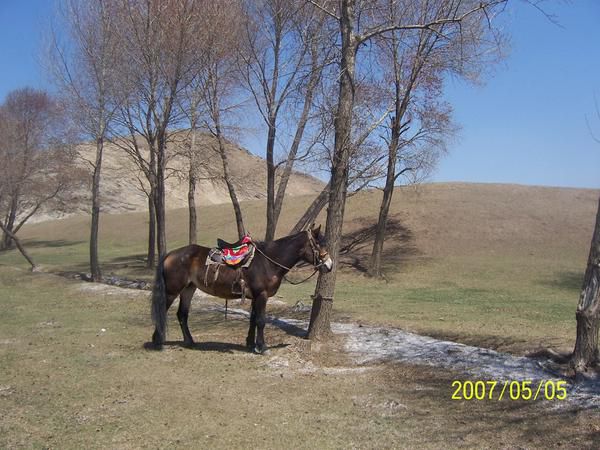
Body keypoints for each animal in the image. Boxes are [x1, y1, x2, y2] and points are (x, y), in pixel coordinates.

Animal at [148, 227, 330, 354]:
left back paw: (189, 341)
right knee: (162, 310)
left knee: (182, 314)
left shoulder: (255, 297)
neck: (268, 262)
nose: (329, 265)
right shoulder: (262, 295)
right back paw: (157, 341)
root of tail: (170, 254)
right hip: (172, 291)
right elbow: (261, 321)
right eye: (318, 244)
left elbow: (253, 319)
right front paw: (262, 347)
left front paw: (251, 343)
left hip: (188, 289)